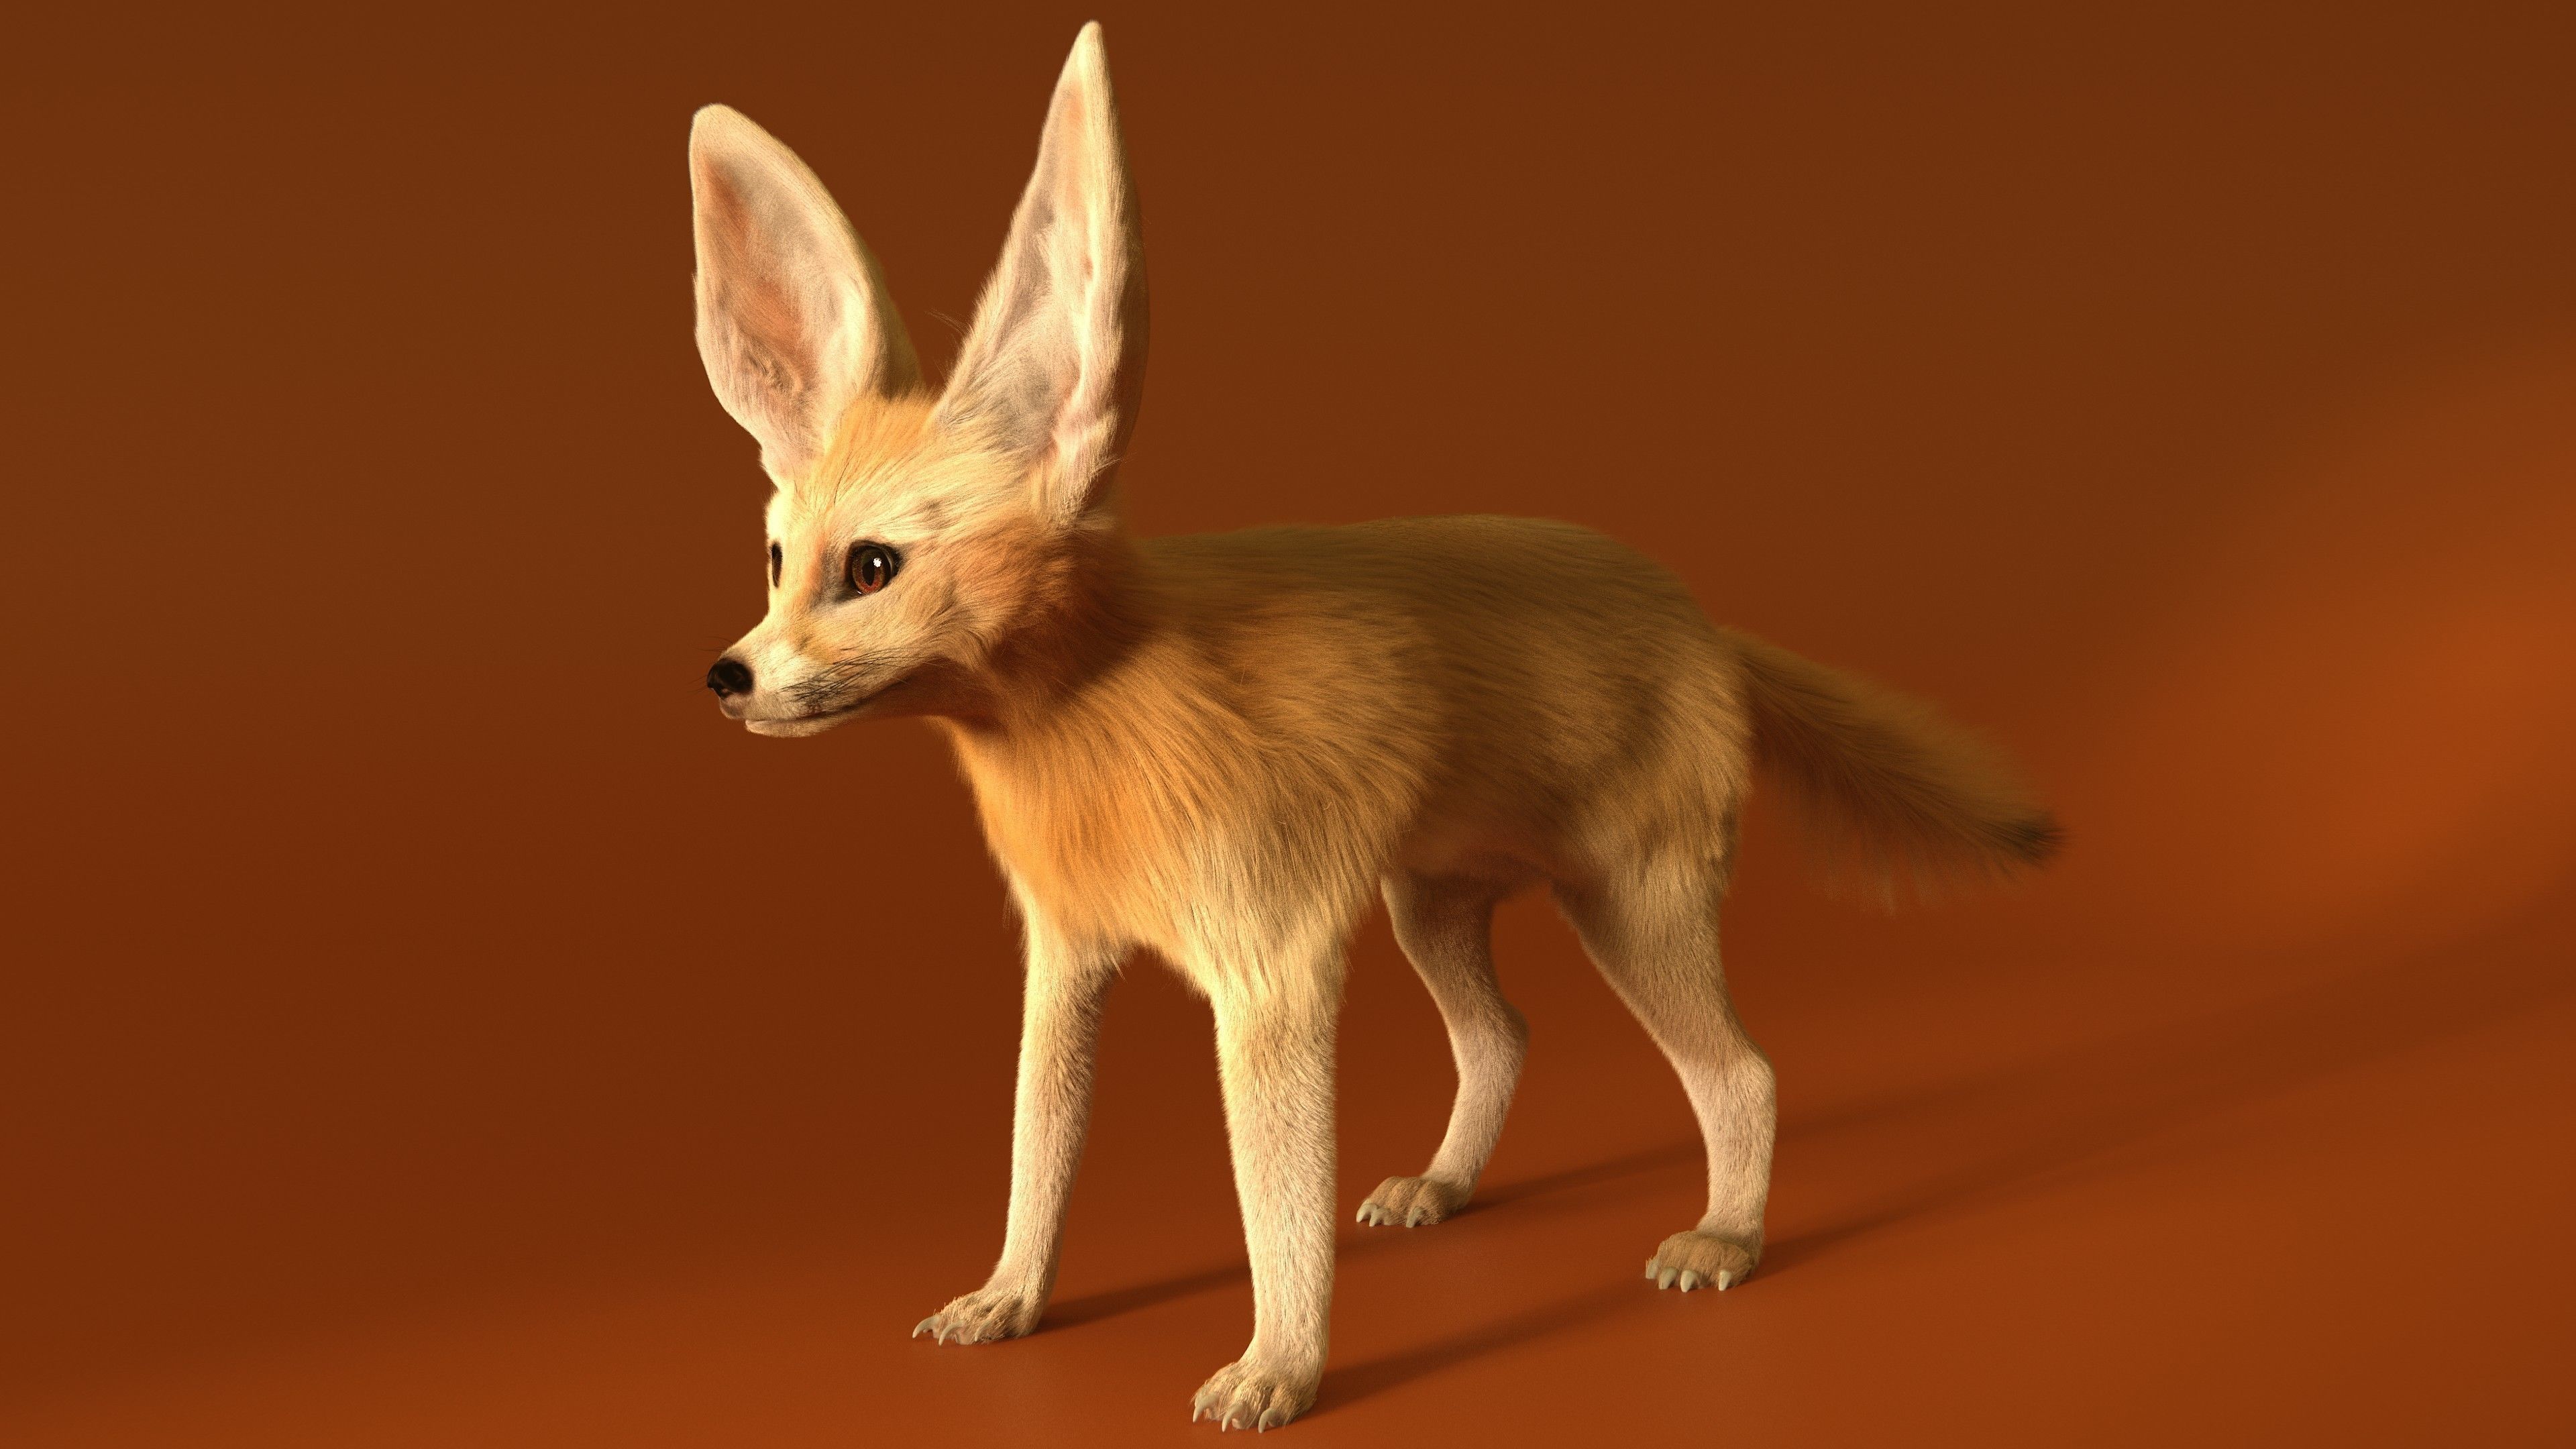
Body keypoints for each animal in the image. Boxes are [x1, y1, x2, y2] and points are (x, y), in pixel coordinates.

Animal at [689, 22, 2056, 1432]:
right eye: (778, 561)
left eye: (871, 570)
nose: (727, 677)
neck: (1101, 724)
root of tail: (1705, 619)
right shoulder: (1068, 955)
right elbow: (1036, 1150)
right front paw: (1010, 1299)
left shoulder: (1273, 970)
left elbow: (1273, 1204)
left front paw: (1278, 1370)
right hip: (1431, 905)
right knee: (1507, 1037)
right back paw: (1445, 1188)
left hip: (1632, 907)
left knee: (1744, 1072)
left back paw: (1725, 1239)